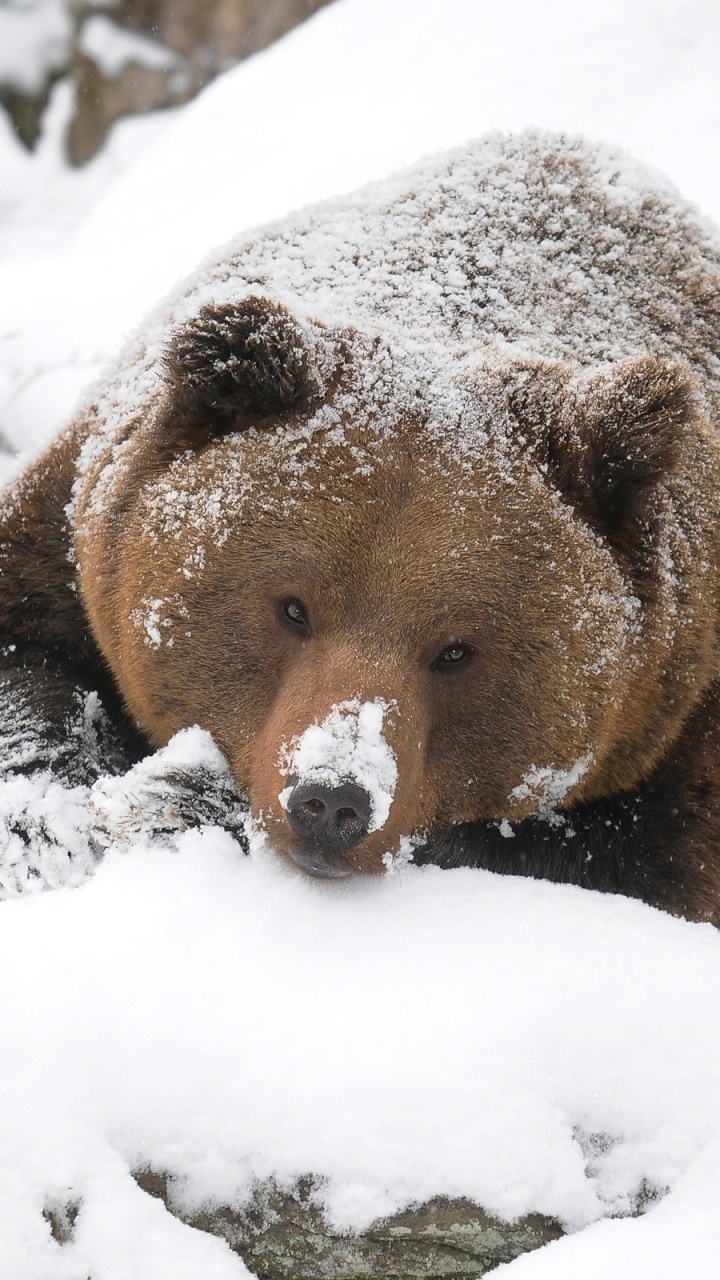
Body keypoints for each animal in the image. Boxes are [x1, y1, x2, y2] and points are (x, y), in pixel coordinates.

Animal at [1, 132, 717, 921]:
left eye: (456, 650)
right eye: (293, 608)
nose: (331, 802)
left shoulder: (677, 716)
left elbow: (628, 854)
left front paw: (172, 799)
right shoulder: (75, 525)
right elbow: (29, 659)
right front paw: (52, 823)